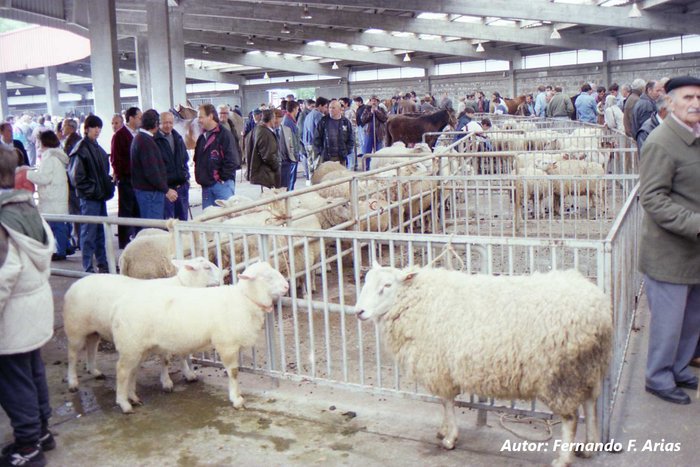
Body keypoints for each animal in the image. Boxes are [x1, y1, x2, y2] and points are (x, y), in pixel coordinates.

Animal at [64, 258, 224, 394]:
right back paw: (73, 382)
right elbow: (166, 360)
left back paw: (95, 372)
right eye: (207, 267)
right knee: (72, 355)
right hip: (75, 328)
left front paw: (189, 374)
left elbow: (183, 355)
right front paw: (166, 382)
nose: (224, 274)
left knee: (91, 346)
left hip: (93, 329)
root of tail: (75, 284)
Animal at [111, 264, 290, 414]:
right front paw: (237, 399)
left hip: (139, 347)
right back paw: (124, 403)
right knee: (122, 371)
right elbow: (233, 373)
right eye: (267, 277)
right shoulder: (226, 344)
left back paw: (133, 397)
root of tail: (118, 307)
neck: (243, 300)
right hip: (130, 345)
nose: (287, 286)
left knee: (132, 371)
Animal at [356, 264, 612, 467]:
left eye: (387, 285)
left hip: (560, 374)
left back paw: (563, 459)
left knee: (570, 418)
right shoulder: (441, 368)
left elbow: (447, 402)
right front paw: (443, 430)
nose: (359, 311)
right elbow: (443, 403)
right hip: (587, 367)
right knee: (591, 403)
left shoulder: (439, 367)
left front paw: (450, 438)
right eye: (366, 281)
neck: (417, 301)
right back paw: (589, 447)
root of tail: (599, 307)